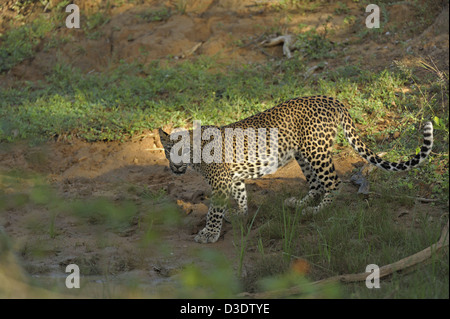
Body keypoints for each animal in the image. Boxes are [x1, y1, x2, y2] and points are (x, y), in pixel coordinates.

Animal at [158, 96, 432, 244]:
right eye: (168, 150)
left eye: (183, 151)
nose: (175, 166)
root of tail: (333, 99)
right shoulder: (231, 179)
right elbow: (241, 195)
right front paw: (241, 215)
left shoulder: (219, 184)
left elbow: (213, 212)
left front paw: (208, 234)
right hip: (303, 154)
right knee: (316, 184)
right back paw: (298, 204)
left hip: (316, 150)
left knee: (334, 183)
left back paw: (316, 210)